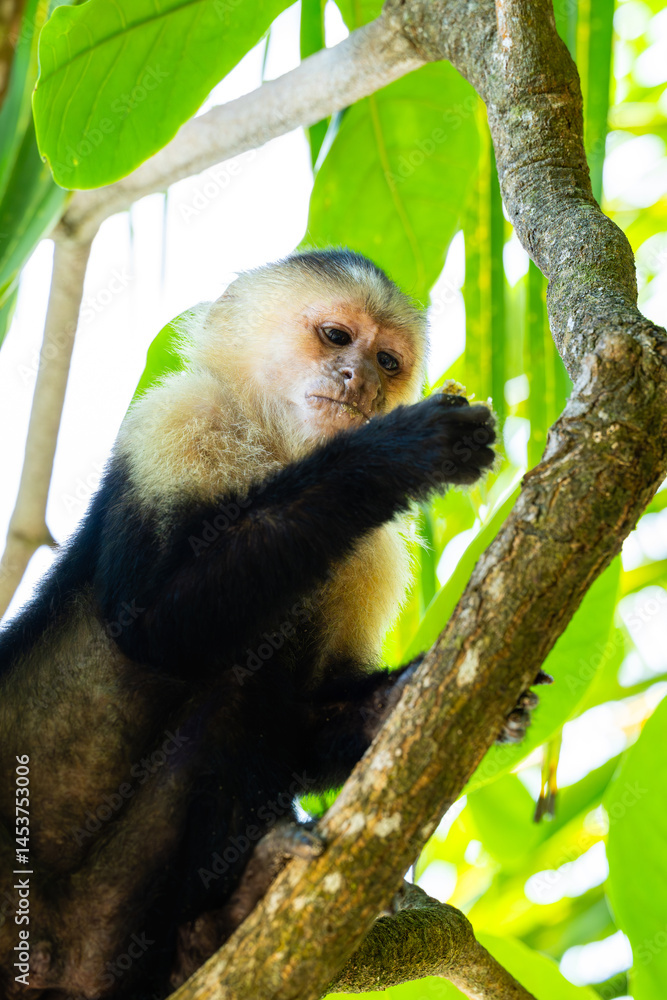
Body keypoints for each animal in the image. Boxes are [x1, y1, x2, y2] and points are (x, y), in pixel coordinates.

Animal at [0, 249, 538, 1000]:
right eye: (337, 337)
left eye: (388, 361)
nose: (359, 380)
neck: (281, 454)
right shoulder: (176, 419)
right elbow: (153, 626)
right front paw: (393, 453)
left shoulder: (372, 556)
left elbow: (308, 719)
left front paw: (414, 694)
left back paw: (207, 934)